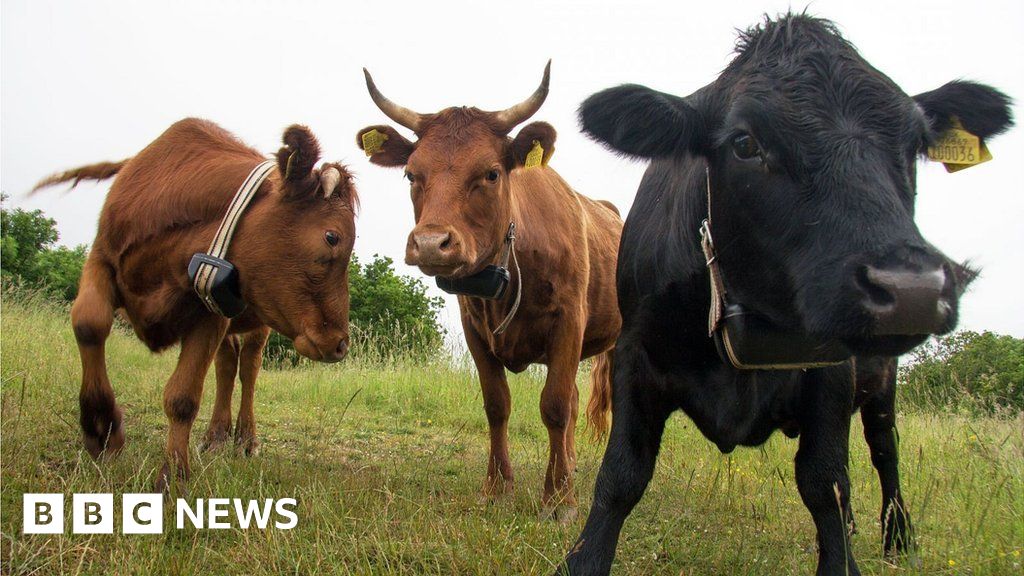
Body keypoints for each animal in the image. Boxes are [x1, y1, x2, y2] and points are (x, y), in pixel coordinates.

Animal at [34, 117, 360, 487]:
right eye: (332, 237)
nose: (339, 344)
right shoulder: (102, 257)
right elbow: (89, 323)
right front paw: (100, 427)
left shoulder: (211, 311)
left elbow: (183, 396)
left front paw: (173, 475)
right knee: (228, 362)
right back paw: (216, 436)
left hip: (258, 324)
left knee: (248, 367)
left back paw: (245, 439)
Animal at [356, 62, 618, 520]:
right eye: (411, 173)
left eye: (491, 173)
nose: (431, 243)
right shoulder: (474, 329)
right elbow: (498, 404)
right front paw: (498, 488)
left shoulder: (569, 322)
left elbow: (553, 405)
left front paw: (559, 500)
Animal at [565, 13, 1011, 573]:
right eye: (744, 143)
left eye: (916, 143)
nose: (912, 289)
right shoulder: (633, 353)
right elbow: (622, 475)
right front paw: (582, 558)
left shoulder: (833, 370)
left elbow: (825, 482)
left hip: (883, 381)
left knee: (884, 450)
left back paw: (898, 536)